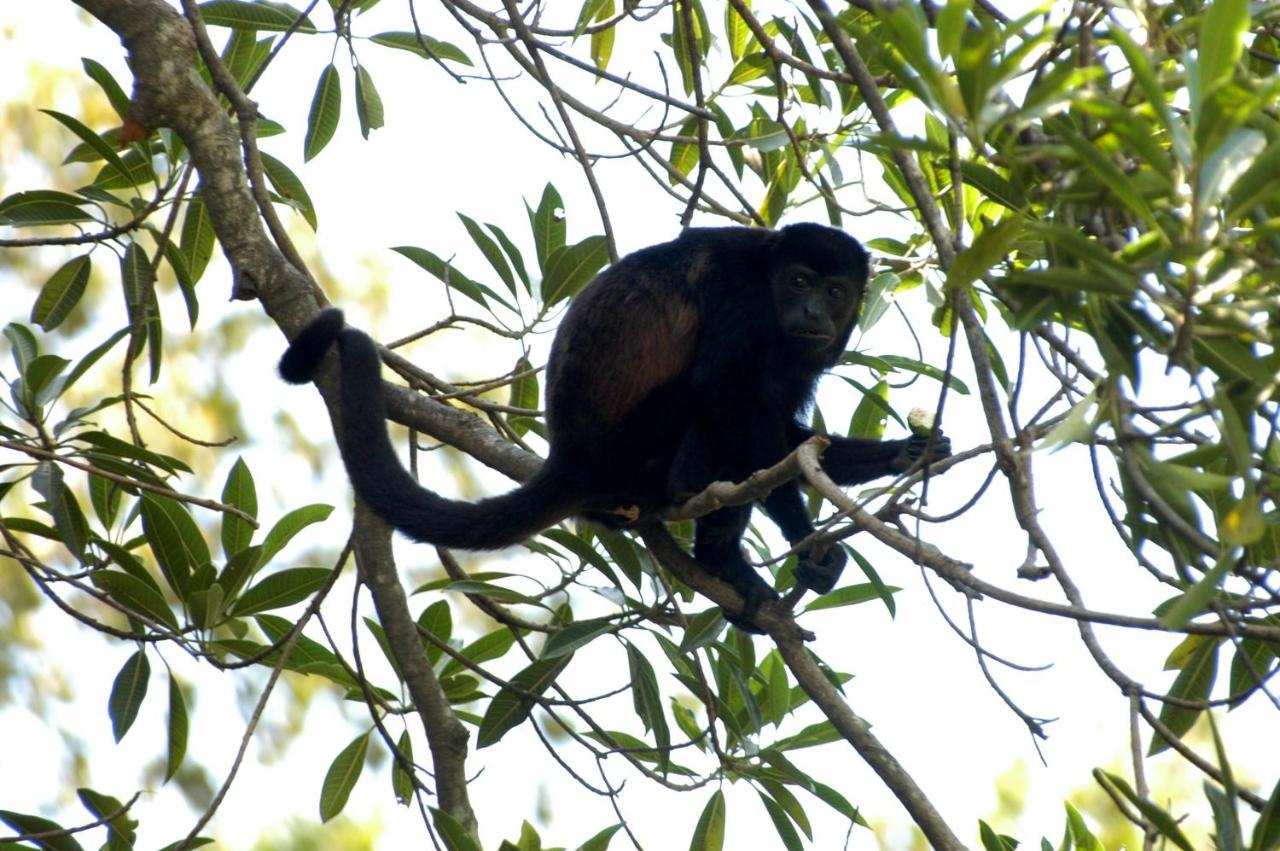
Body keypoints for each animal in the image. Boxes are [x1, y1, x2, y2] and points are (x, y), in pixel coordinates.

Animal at [285, 223, 957, 624]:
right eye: (798, 282)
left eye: (837, 291)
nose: (814, 311)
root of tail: (570, 458)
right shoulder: (744, 299)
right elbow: (728, 396)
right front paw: (806, 538)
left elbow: (787, 433)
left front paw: (905, 452)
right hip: (634, 450)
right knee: (709, 405)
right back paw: (717, 546)